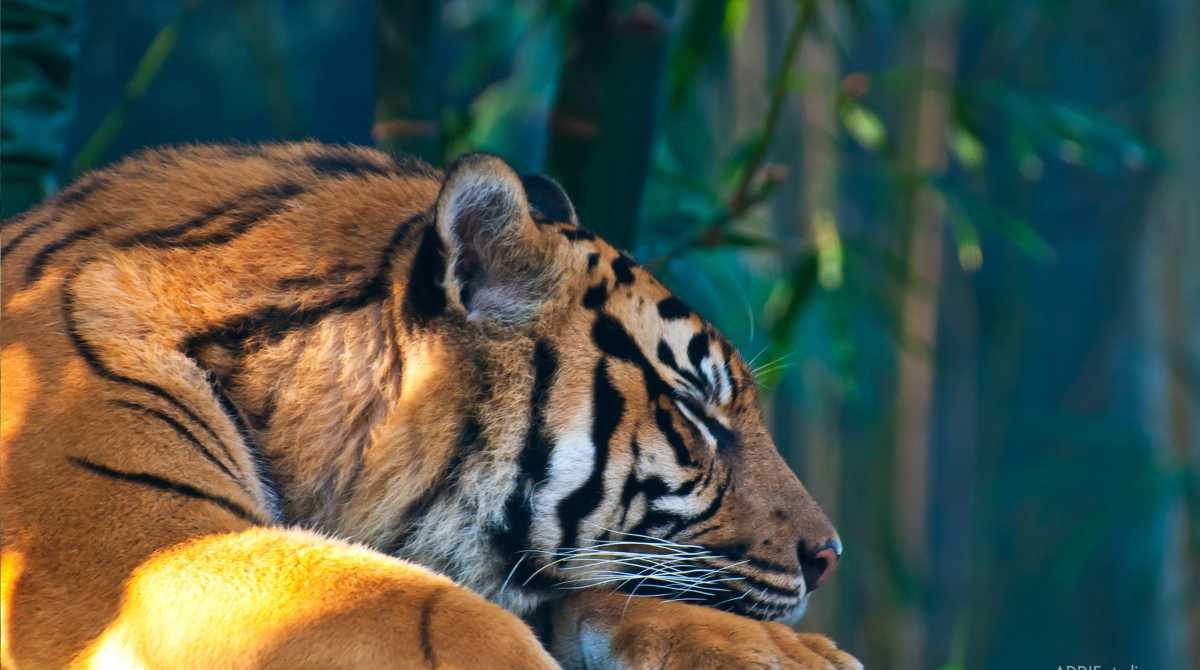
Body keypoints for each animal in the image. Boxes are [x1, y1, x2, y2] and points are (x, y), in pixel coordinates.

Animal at [0, 142, 859, 669]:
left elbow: (586, 590)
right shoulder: (144, 546)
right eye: (694, 410)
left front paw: (786, 655)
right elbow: (433, 612)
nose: (828, 557)